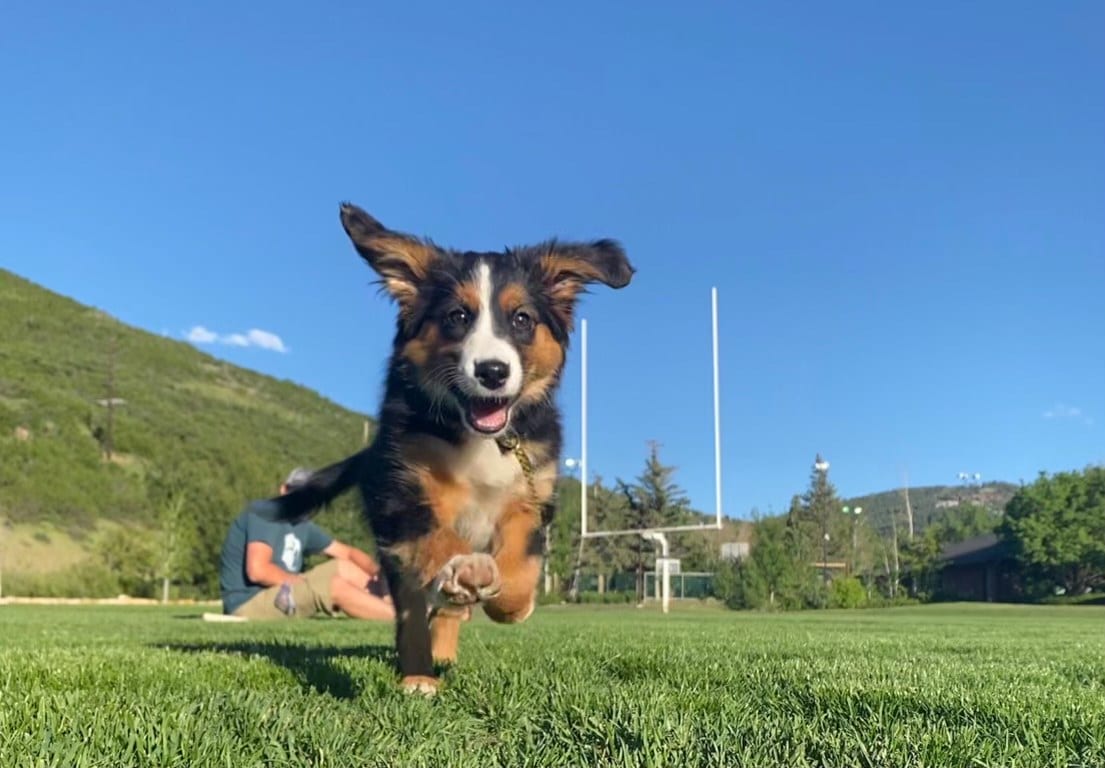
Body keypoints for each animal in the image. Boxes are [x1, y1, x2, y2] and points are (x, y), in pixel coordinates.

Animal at [262, 203, 636, 689]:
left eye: (522, 319)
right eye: (457, 317)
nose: (492, 371)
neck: (482, 439)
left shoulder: (531, 493)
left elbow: (521, 566)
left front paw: (509, 601)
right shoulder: (405, 496)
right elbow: (438, 542)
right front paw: (466, 569)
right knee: (412, 611)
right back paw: (421, 672)